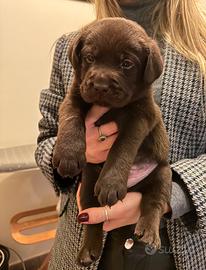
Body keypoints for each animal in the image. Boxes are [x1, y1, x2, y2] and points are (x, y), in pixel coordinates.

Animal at [52, 17, 171, 266]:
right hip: (87, 187)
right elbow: (70, 118)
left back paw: (148, 232)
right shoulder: (74, 95)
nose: (100, 85)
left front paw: (111, 182)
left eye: (126, 63)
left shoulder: (141, 116)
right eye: (89, 57)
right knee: (93, 220)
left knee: (153, 202)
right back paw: (88, 250)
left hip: (163, 173)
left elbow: (123, 146)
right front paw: (68, 155)